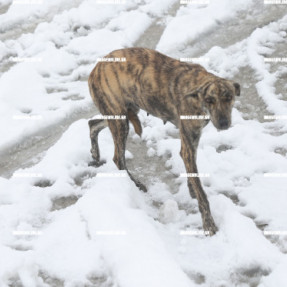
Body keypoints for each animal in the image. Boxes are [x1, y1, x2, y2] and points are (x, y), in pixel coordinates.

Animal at [88, 47, 241, 236]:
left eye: (229, 97)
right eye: (210, 100)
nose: (223, 123)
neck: (196, 94)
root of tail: (95, 69)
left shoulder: (191, 141)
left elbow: (193, 176)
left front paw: (191, 190)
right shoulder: (188, 146)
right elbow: (202, 193)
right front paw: (209, 224)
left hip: (122, 112)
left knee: (93, 124)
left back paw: (95, 153)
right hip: (119, 120)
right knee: (118, 158)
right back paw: (135, 184)